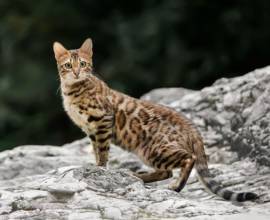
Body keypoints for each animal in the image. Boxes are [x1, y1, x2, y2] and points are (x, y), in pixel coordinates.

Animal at [52, 38, 258, 201]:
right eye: (68, 65)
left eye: (83, 64)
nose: (77, 72)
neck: (73, 90)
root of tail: (192, 127)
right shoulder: (90, 129)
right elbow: (96, 150)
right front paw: (97, 166)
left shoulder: (102, 121)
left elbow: (102, 152)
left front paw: (100, 169)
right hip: (148, 152)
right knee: (166, 171)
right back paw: (139, 176)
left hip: (154, 149)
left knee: (187, 159)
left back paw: (175, 186)